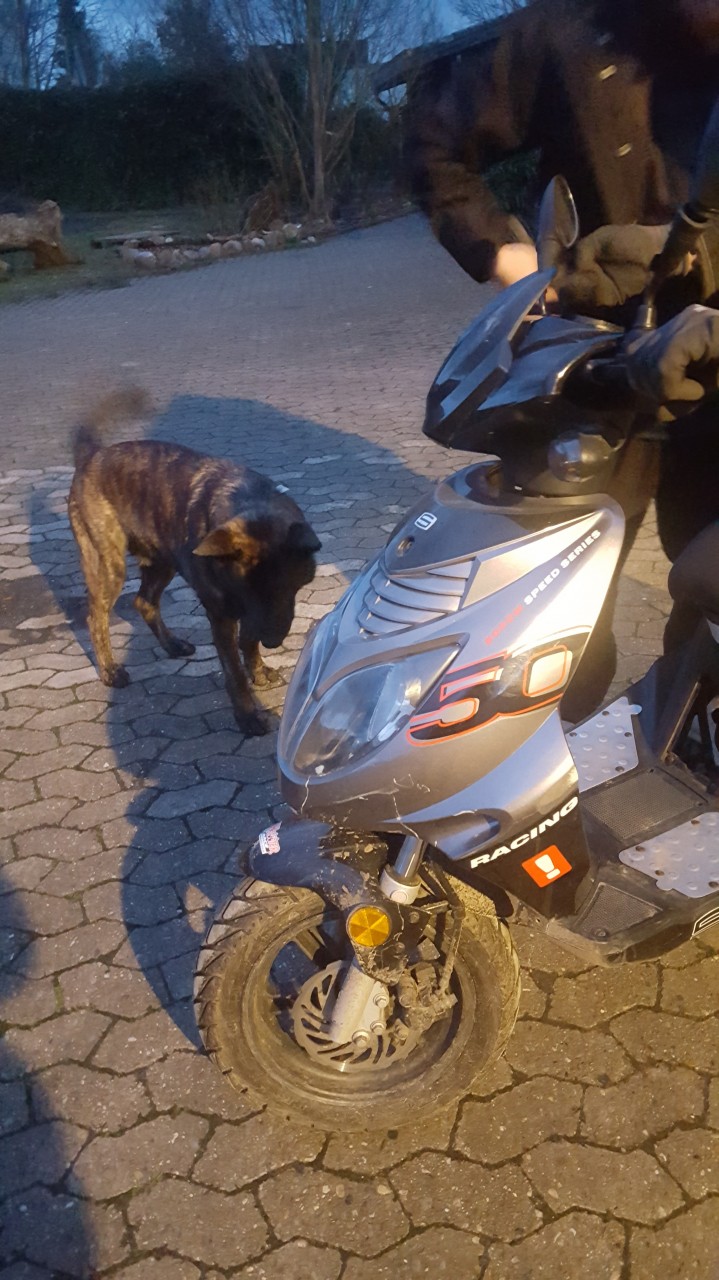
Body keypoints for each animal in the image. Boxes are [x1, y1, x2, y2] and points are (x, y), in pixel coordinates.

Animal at [67, 391, 321, 736]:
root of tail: (91, 457)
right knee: (96, 618)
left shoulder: (246, 616)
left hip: (162, 562)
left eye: (285, 591)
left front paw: (258, 669)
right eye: (249, 594)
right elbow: (234, 672)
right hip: (109, 566)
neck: (252, 502)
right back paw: (110, 670)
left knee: (143, 602)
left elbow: (248, 642)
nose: (272, 642)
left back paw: (172, 645)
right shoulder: (223, 615)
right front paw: (248, 716)